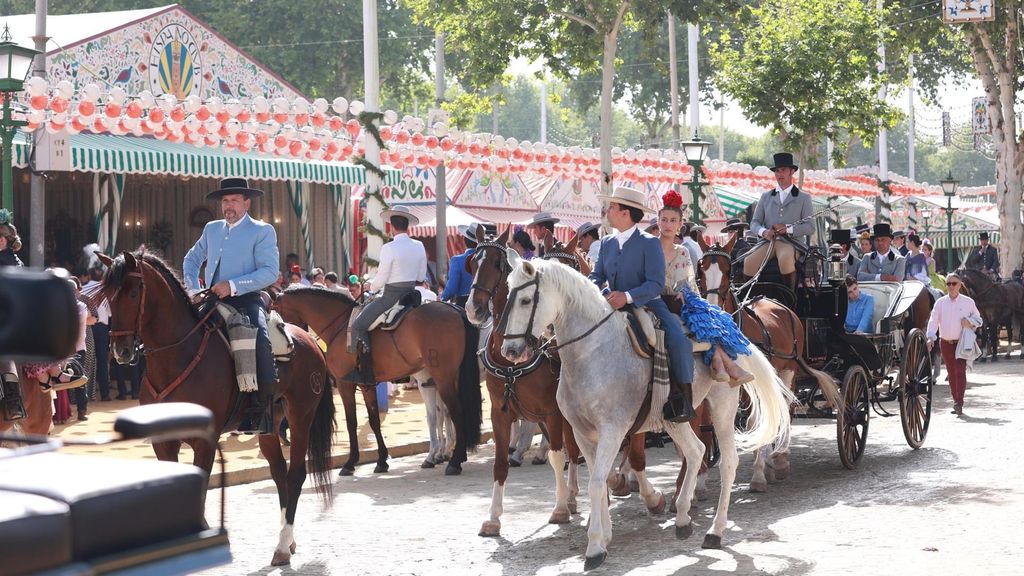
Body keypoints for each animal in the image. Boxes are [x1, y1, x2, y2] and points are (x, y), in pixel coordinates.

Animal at [98, 250, 333, 565]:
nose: (120, 351)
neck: (176, 357)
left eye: (133, 293)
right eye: (107, 296)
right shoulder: (163, 442)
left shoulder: (204, 442)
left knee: (295, 474)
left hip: (301, 416)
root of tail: (310, 340)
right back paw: (288, 538)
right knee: (279, 473)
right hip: (269, 425)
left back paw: (283, 546)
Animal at [270, 280, 481, 471]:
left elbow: (352, 421)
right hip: (450, 377)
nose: (290, 342)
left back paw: (454, 462)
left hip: (443, 378)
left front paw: (350, 462)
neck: (340, 326)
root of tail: (453, 309)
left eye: (274, 310)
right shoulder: (367, 384)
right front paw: (381, 460)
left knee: (456, 412)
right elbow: (374, 420)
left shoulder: (345, 383)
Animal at [466, 223, 585, 532]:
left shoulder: (553, 412)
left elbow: (558, 456)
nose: (474, 309)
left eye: (498, 264)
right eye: (472, 262)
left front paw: (559, 508)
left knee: (573, 449)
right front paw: (493, 517)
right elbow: (500, 462)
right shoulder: (500, 413)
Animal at [499, 251, 794, 569]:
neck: (593, 352)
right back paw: (682, 517)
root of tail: (728, 324)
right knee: (696, 452)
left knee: (728, 462)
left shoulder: (613, 430)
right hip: (675, 418)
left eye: (525, 300)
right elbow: (601, 480)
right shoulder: (581, 432)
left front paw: (595, 548)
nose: (510, 352)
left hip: (723, 407)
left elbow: (597, 483)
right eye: (507, 294)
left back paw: (715, 531)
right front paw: (605, 534)